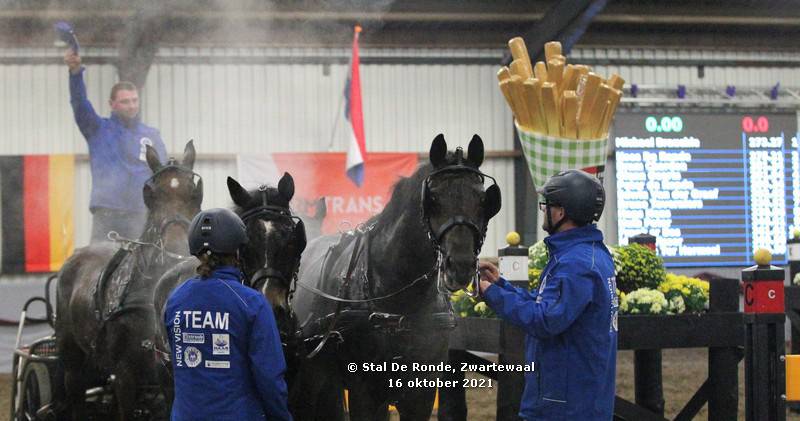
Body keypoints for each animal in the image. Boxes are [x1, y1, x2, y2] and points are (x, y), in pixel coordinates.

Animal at [288, 135, 500, 420]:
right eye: (433, 198)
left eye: (482, 199)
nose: (461, 265)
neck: (400, 303)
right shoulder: (365, 393)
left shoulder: (420, 394)